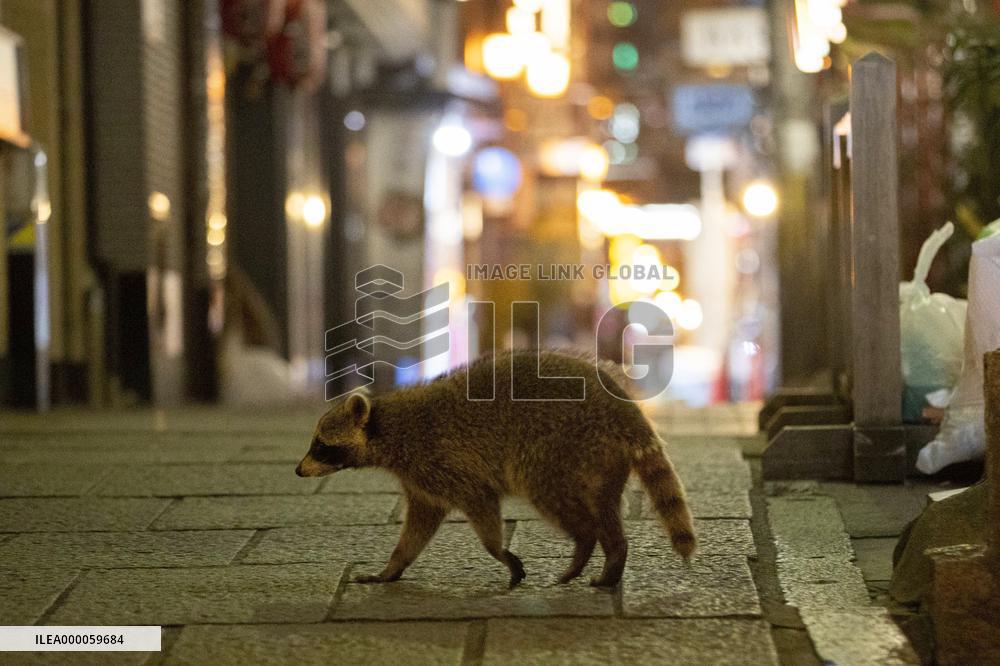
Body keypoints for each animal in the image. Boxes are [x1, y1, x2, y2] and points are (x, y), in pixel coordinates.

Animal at [296, 350, 696, 588]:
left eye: (320, 445)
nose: (298, 471)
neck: (385, 425)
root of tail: (623, 406)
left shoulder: (443, 463)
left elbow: (480, 505)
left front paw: (500, 552)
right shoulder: (421, 482)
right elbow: (418, 527)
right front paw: (392, 566)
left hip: (558, 448)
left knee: (557, 500)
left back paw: (585, 543)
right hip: (604, 461)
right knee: (606, 508)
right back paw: (613, 555)